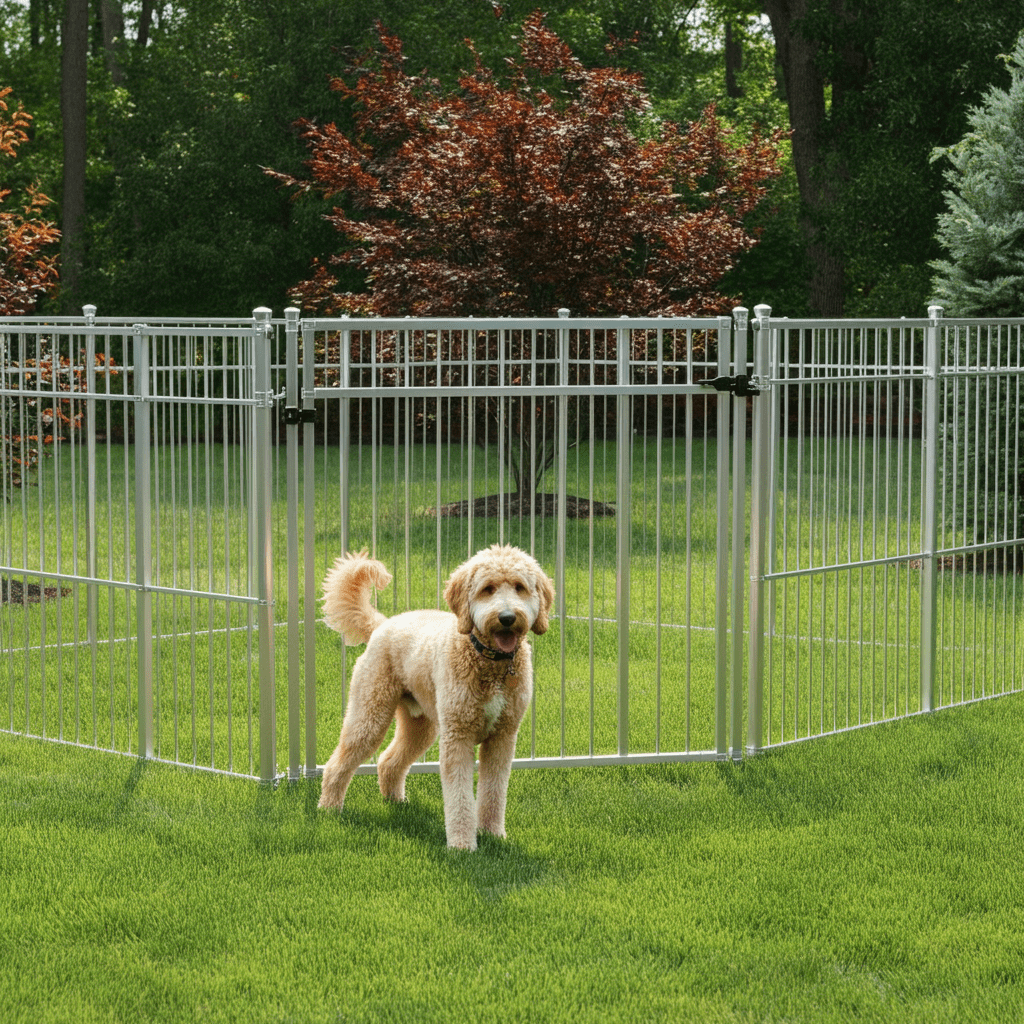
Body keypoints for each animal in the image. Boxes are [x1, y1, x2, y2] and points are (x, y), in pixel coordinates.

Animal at [317, 544, 552, 847]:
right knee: (339, 763)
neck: (488, 662)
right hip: (370, 712)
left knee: (388, 761)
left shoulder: (502, 737)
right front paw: (462, 845)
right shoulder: (458, 737)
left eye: (520, 587)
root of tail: (383, 624)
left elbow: (494, 792)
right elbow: (460, 796)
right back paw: (329, 808)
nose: (507, 618)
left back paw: (396, 802)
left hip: (421, 725)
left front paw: (492, 834)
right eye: (487, 589)